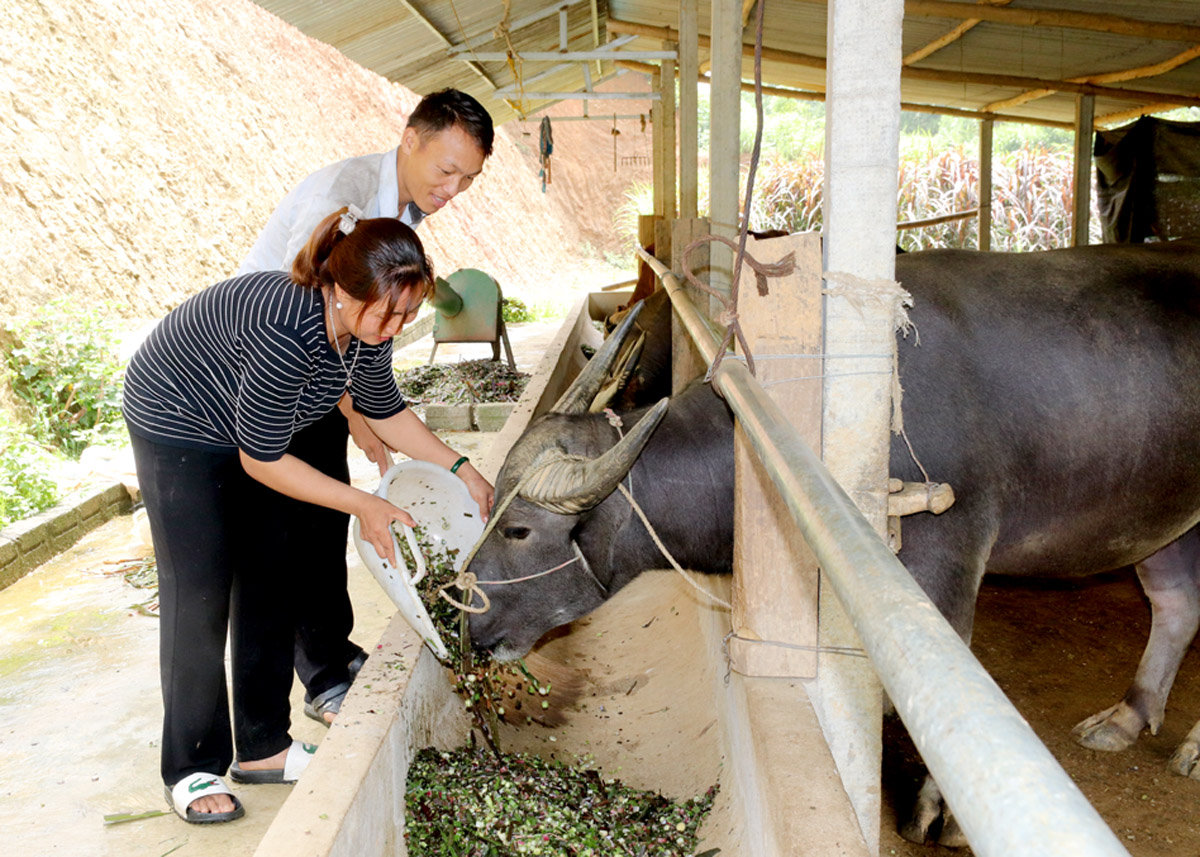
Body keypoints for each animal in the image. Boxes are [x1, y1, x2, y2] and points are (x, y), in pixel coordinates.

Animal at [470, 240, 1200, 840]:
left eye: (519, 528)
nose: (468, 620)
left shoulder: (948, 551)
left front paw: (936, 813)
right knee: (1176, 605)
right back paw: (1125, 718)